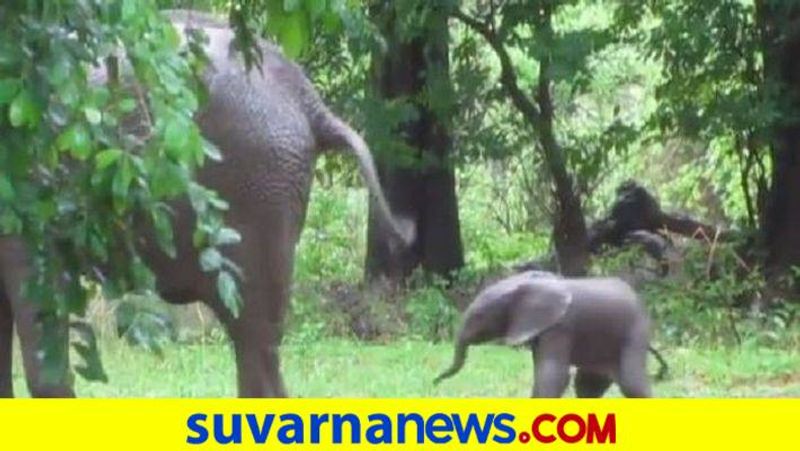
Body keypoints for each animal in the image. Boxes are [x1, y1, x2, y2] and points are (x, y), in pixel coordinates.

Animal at [438, 270, 656, 398]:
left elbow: (553, 374)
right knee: (588, 384)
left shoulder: (559, 327)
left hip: (636, 330)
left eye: (479, 316)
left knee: (631, 383)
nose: (435, 380)